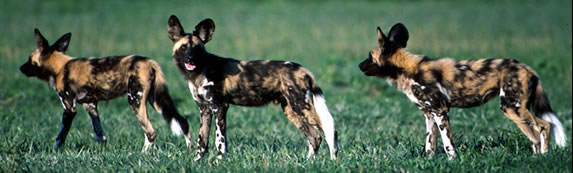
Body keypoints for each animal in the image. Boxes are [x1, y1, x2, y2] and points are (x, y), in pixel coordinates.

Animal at [19, 29, 192, 152]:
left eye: (29, 59)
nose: (20, 68)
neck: (60, 67)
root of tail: (150, 61)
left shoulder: (69, 108)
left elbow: (60, 137)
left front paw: (54, 153)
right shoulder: (91, 105)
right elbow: (100, 134)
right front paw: (103, 154)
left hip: (135, 101)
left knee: (151, 132)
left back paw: (142, 155)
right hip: (156, 101)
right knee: (183, 121)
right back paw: (192, 152)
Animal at [165, 15, 338, 161]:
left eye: (197, 49)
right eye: (183, 48)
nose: (190, 59)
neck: (200, 72)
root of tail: (304, 70)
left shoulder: (219, 107)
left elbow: (220, 140)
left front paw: (219, 161)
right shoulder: (204, 109)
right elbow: (202, 141)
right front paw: (197, 161)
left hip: (301, 106)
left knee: (331, 133)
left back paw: (333, 162)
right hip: (291, 111)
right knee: (315, 138)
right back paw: (308, 162)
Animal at [360, 23, 564, 159]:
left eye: (369, 56)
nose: (359, 65)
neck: (407, 70)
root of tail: (529, 68)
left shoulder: (440, 111)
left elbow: (448, 144)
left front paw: (453, 161)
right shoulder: (429, 114)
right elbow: (430, 143)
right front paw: (429, 161)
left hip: (511, 108)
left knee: (543, 127)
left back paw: (542, 158)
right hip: (517, 109)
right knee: (537, 133)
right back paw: (538, 158)